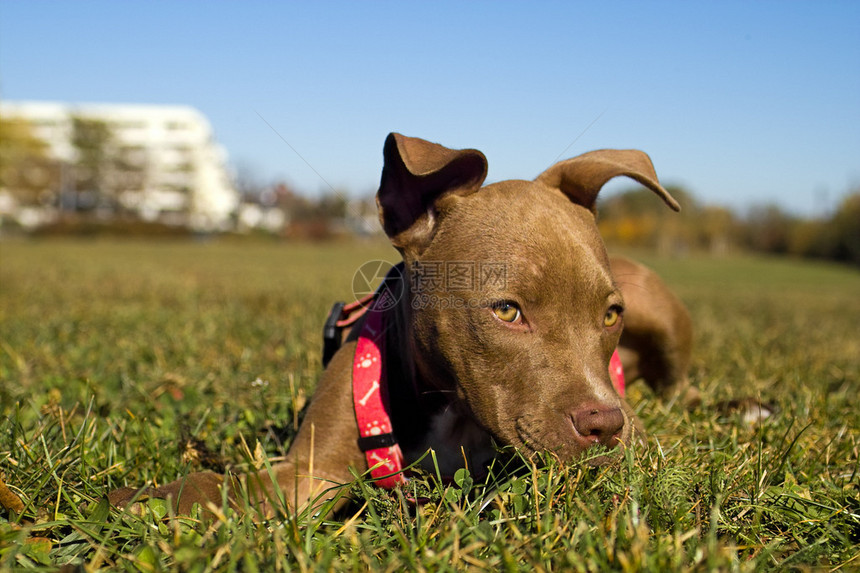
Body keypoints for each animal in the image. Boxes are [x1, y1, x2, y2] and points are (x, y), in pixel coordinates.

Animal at [109, 133, 692, 512]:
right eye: (507, 310)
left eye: (610, 315)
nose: (607, 427)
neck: (448, 401)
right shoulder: (311, 472)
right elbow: (220, 485)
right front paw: (143, 499)